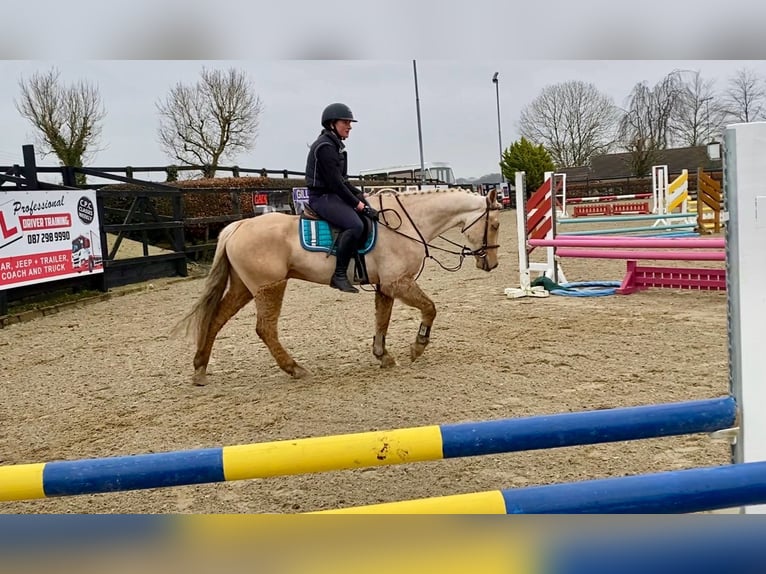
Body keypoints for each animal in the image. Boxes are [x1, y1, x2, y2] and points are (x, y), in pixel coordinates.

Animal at [179, 189, 504, 388]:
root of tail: (239, 226)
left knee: (216, 320)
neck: (406, 225)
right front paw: (417, 347)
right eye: (496, 225)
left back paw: (200, 369)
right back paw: (294, 368)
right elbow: (430, 308)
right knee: (265, 329)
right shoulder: (398, 282)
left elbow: (382, 319)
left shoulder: (385, 286)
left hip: (245, 288)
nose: (492, 264)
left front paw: (382, 355)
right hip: (269, 287)